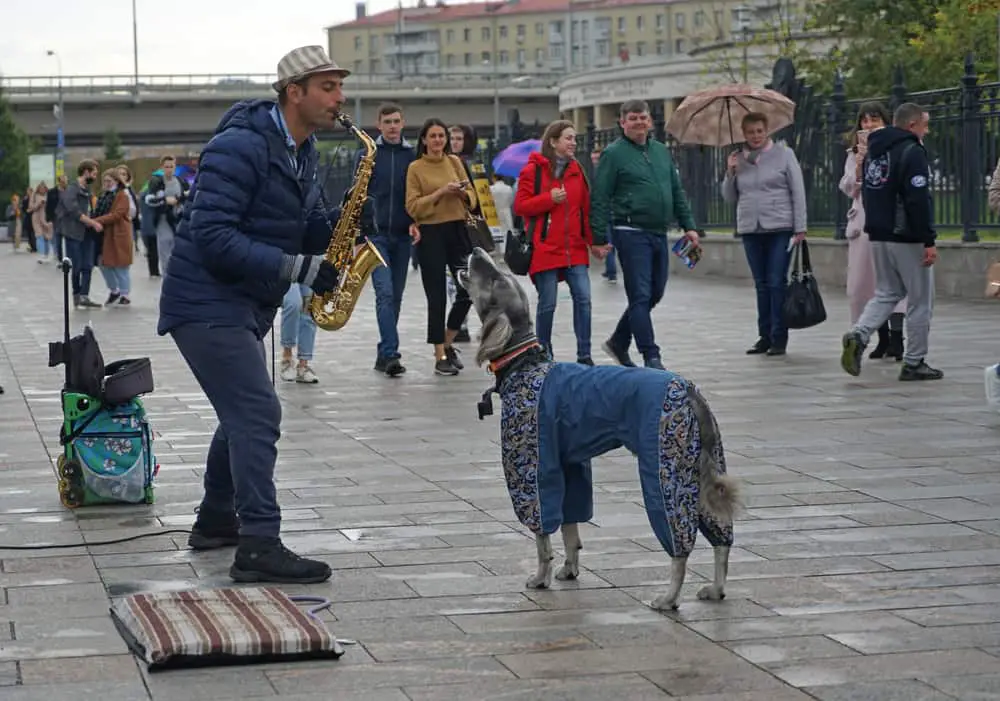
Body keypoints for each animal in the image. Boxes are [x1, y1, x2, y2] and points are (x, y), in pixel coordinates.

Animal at [458, 249, 740, 608]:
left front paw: (540, 577)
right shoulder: (570, 464)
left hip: (667, 466)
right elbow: (571, 528)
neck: (525, 364)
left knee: (679, 545)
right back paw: (716, 589)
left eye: (496, 278)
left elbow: (542, 536)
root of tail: (688, 388)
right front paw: (569, 570)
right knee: (722, 538)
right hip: (702, 466)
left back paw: (668, 597)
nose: (476, 251)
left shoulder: (534, 469)